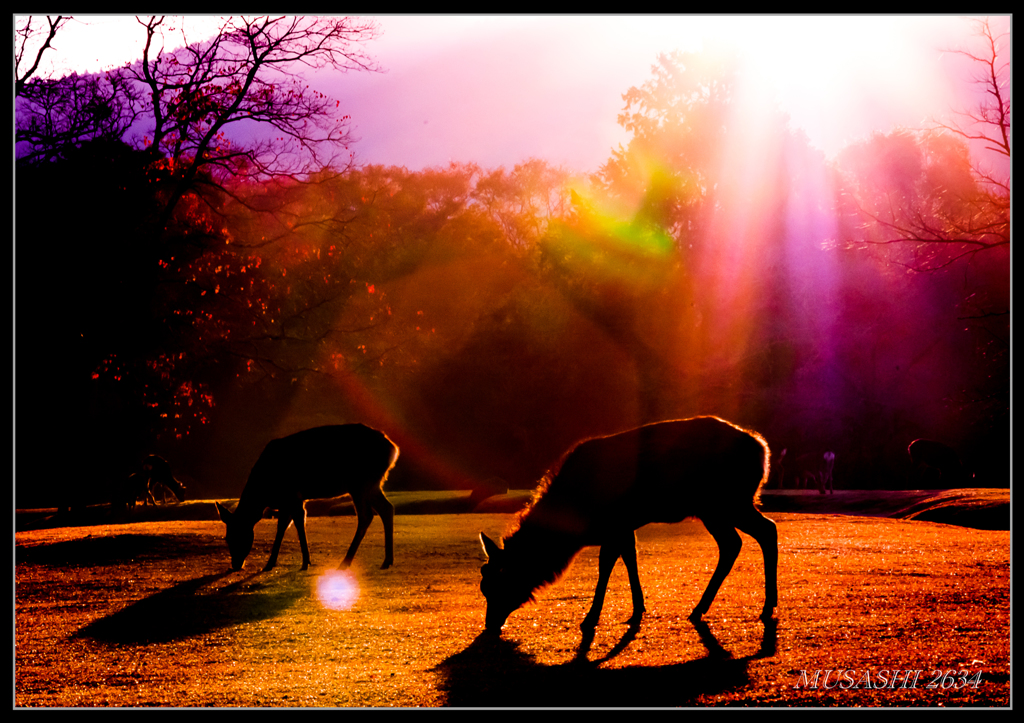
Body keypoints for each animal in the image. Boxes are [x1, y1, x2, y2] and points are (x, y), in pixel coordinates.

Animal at [217, 421, 399, 569]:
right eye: (227, 537)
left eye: (239, 535)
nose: (235, 565)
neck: (264, 494)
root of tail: (393, 449)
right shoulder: (290, 500)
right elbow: (284, 525)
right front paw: (272, 563)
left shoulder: (291, 495)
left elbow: (295, 523)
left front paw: (304, 562)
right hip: (373, 484)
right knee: (387, 508)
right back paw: (387, 561)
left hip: (359, 482)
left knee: (366, 515)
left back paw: (345, 562)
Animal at [479, 417, 774, 630]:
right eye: (484, 585)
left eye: (496, 584)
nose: (490, 625)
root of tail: (763, 450)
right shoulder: (624, 527)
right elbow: (630, 558)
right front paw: (638, 608)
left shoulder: (613, 525)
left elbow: (606, 566)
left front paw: (591, 618)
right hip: (717, 508)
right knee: (733, 543)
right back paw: (702, 608)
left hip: (727, 502)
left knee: (765, 530)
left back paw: (765, 606)